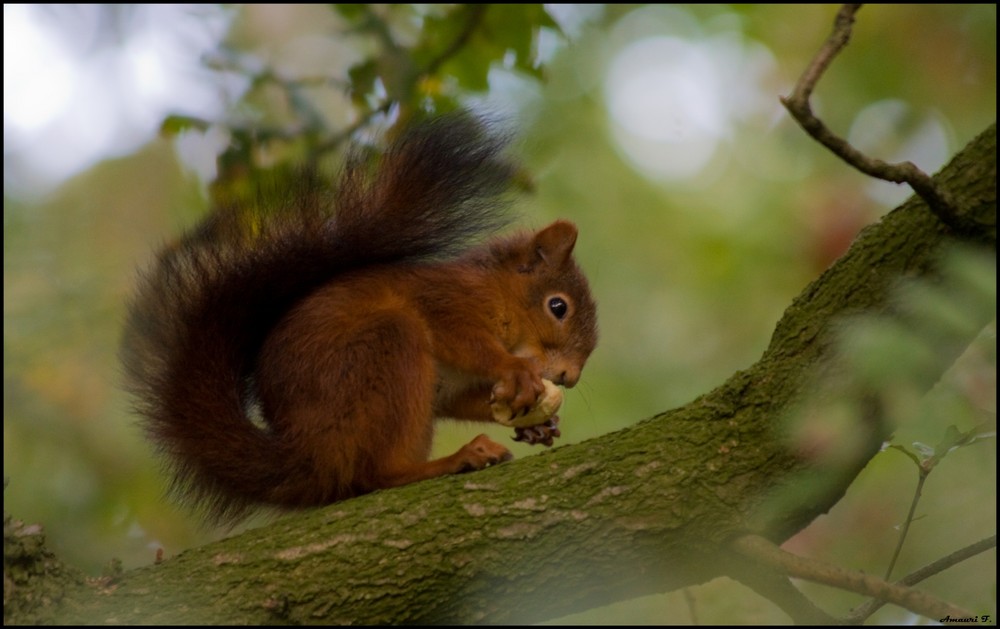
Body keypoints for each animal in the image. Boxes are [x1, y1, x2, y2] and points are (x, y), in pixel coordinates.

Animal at [121, 113, 596, 524]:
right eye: (558, 307)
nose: (570, 378)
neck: (498, 296)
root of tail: (307, 456)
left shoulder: (449, 386)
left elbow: (463, 400)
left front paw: (539, 424)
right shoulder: (447, 302)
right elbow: (464, 340)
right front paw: (515, 369)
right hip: (381, 353)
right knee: (375, 476)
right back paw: (452, 460)